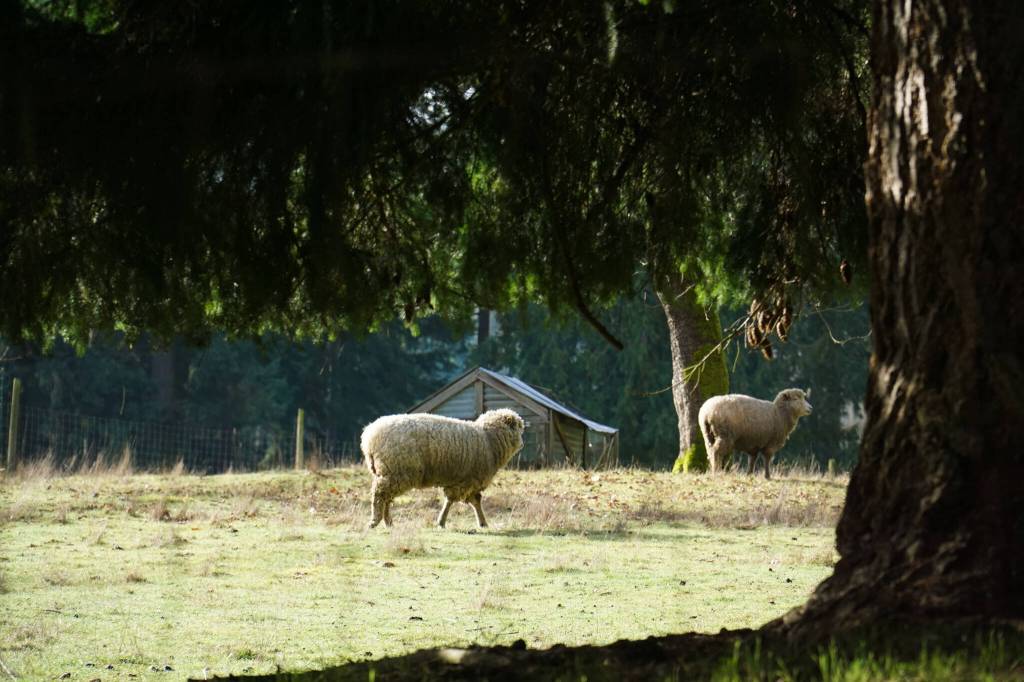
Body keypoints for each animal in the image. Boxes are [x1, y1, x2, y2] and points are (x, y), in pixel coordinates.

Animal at [361, 408, 525, 529]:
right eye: (518, 428)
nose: (523, 444)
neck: (489, 439)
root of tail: (369, 436)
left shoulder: (464, 481)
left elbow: (472, 500)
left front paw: (482, 523)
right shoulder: (468, 480)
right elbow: (459, 500)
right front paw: (442, 522)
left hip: (390, 473)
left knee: (387, 497)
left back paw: (388, 522)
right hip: (398, 471)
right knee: (380, 494)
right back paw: (375, 520)